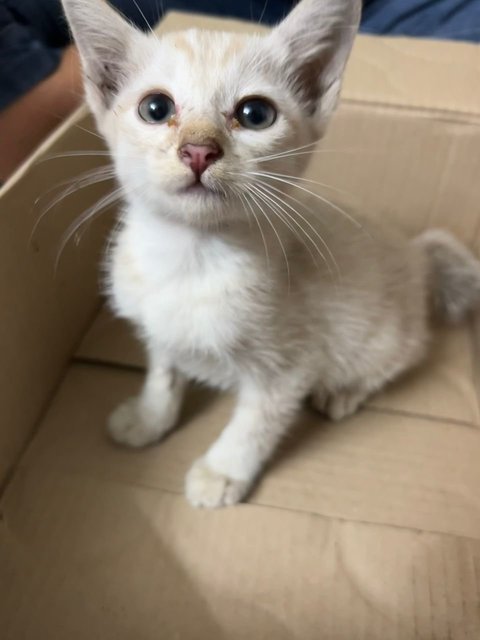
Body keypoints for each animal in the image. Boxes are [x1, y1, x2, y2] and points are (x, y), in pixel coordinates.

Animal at [62, 1, 480, 510]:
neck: (191, 260)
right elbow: (163, 373)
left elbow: (254, 425)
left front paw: (222, 472)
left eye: (255, 113)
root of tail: (416, 253)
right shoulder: (158, 331)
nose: (199, 150)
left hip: (382, 336)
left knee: (398, 358)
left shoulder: (290, 368)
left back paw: (343, 393)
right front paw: (148, 418)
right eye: (155, 108)